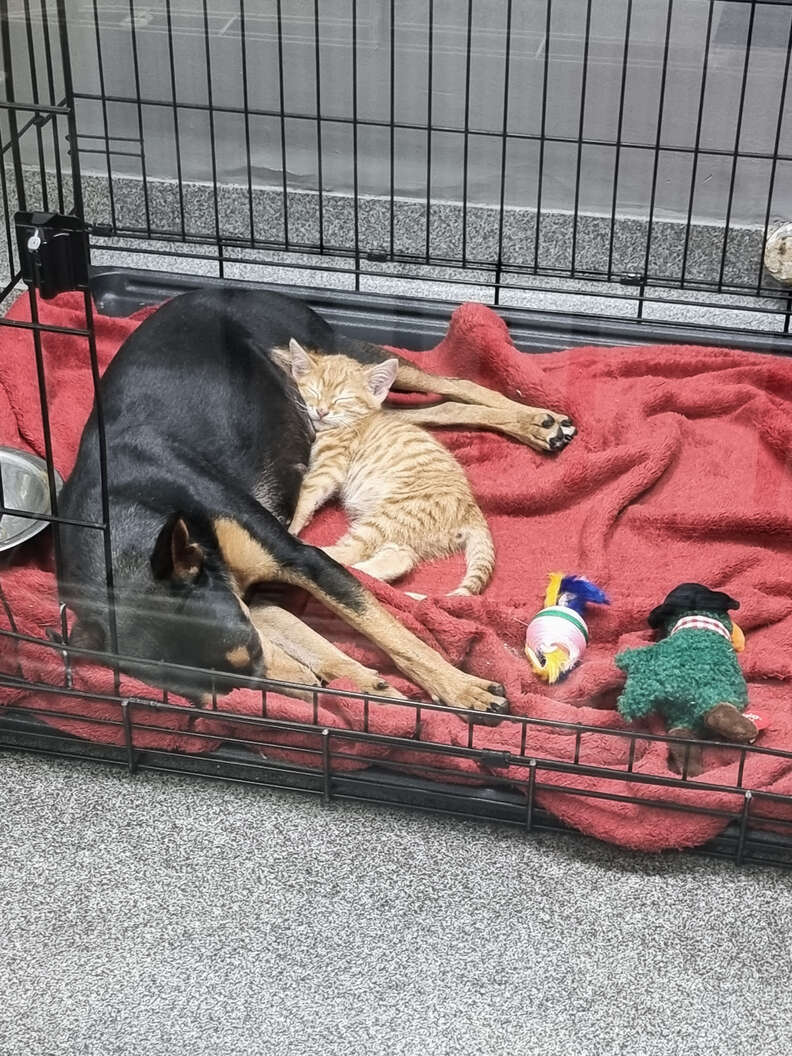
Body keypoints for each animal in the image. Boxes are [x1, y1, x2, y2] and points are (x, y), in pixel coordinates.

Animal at [283, 342, 496, 599]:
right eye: (314, 391)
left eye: (343, 398)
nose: (322, 411)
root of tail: (473, 512)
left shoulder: (330, 467)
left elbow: (307, 494)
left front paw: (292, 526)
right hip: (403, 531)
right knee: (400, 559)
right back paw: (365, 575)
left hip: (391, 515)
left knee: (353, 550)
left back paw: (317, 552)